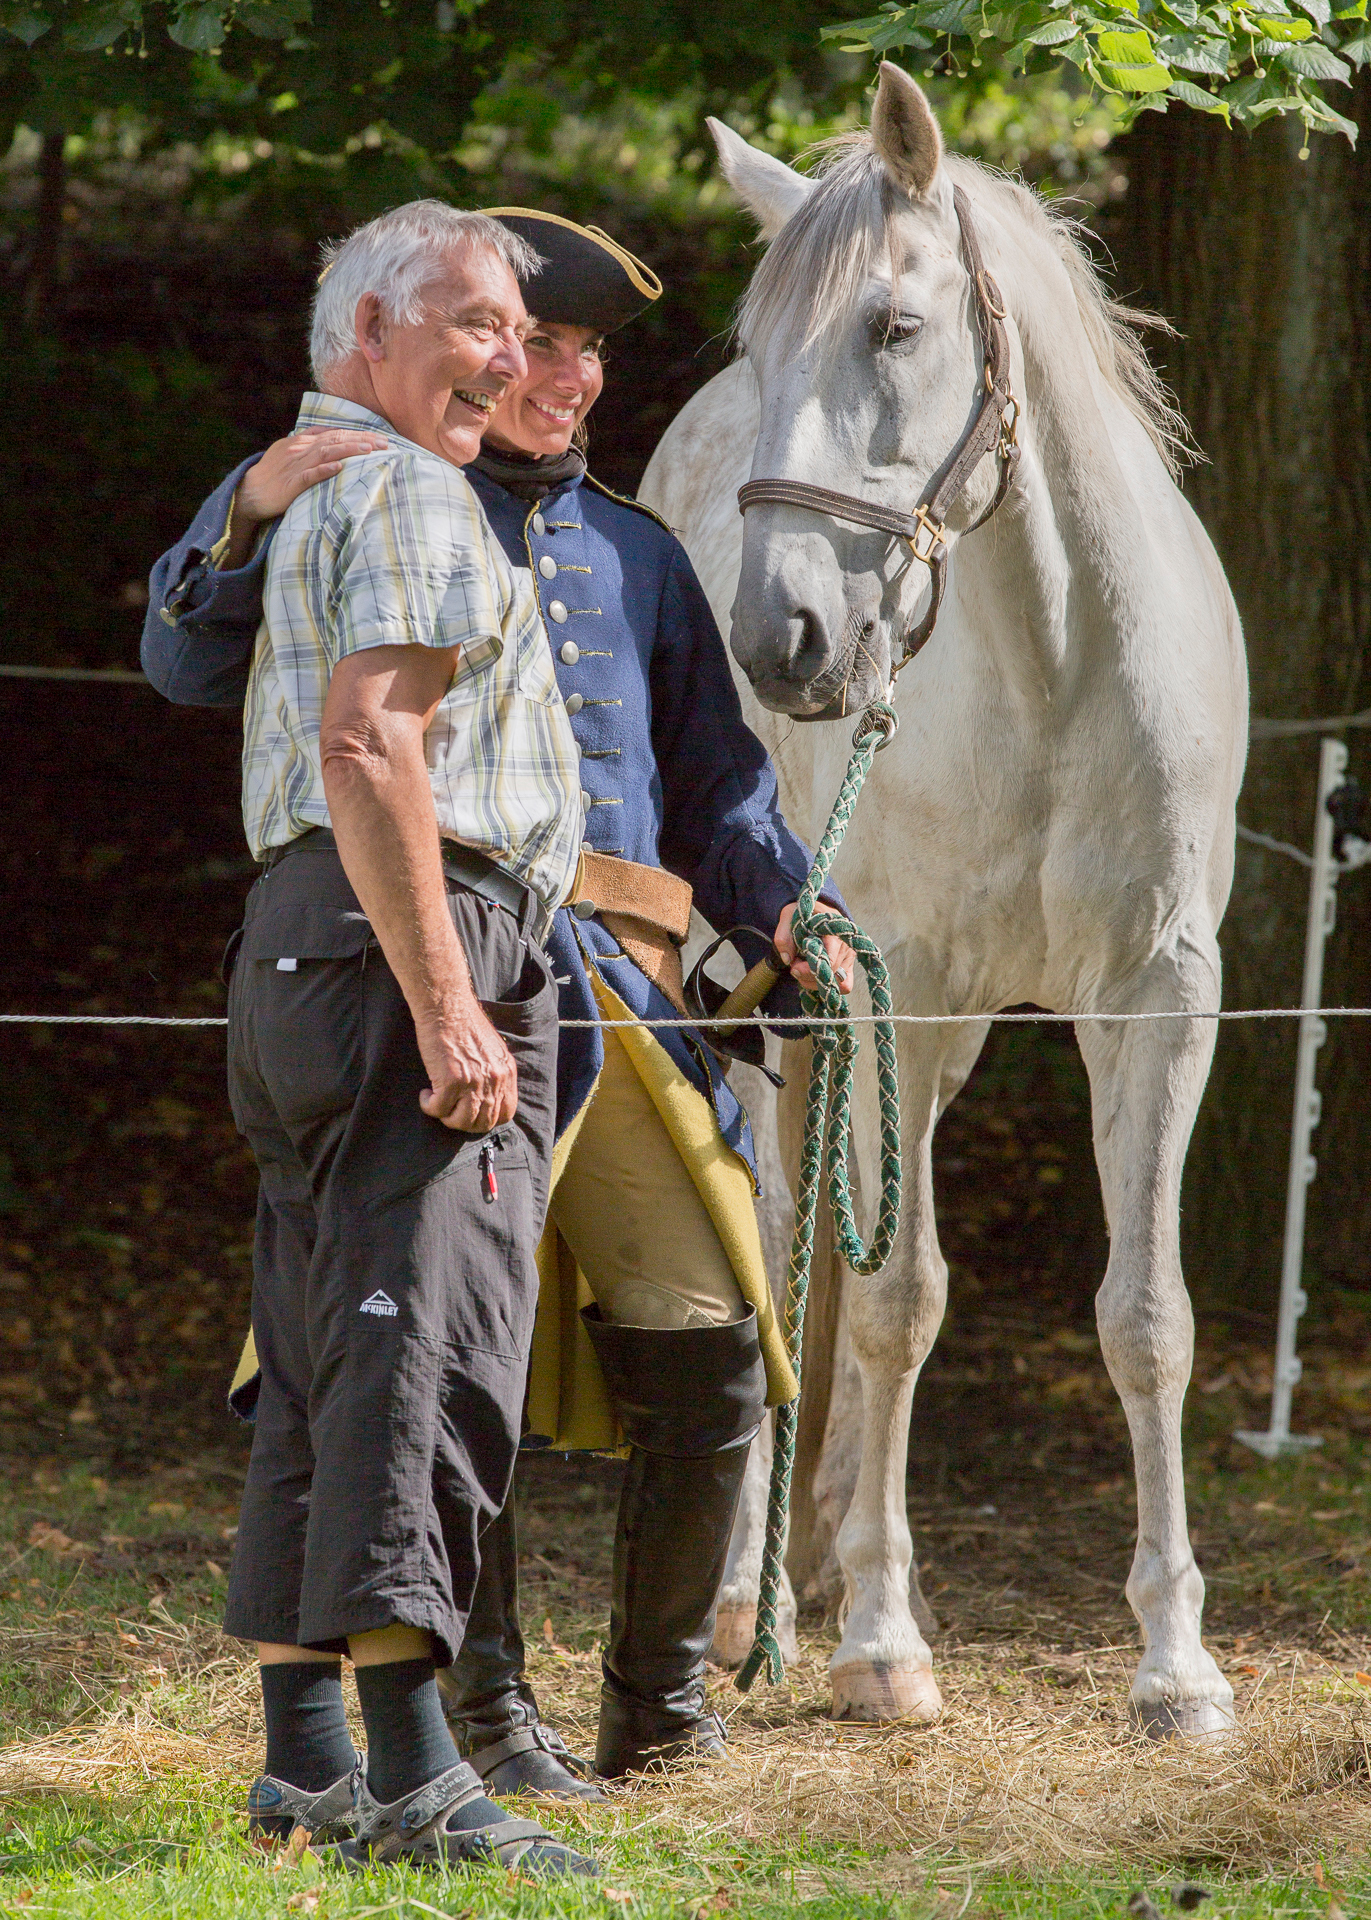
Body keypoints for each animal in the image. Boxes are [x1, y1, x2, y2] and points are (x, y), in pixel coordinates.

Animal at [640, 62, 1248, 1737]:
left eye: (893, 328)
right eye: (759, 343)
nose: (778, 640)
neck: (1053, 666)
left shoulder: (1157, 996)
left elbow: (1145, 1318)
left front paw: (1175, 1666)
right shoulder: (890, 985)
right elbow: (898, 1300)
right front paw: (878, 1645)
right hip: (773, 1003)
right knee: (786, 1246)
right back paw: (758, 1602)